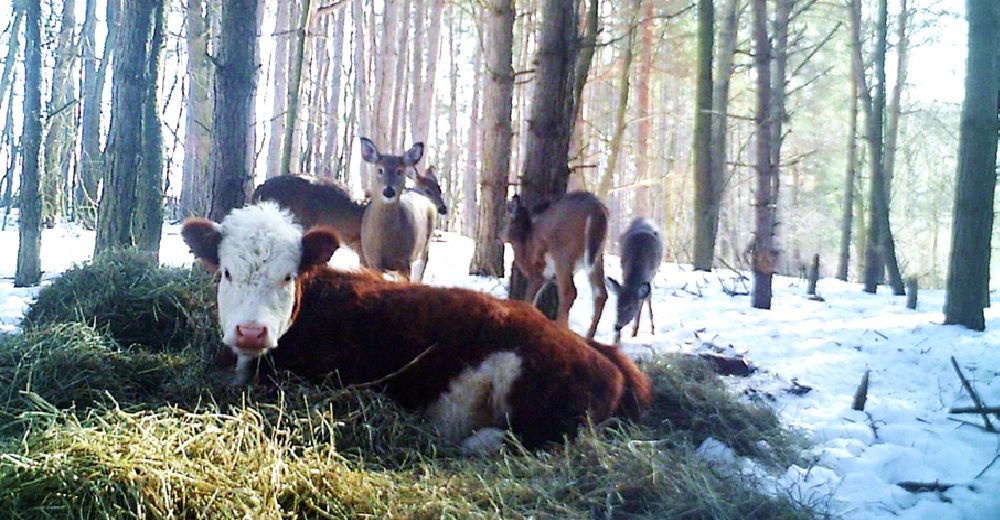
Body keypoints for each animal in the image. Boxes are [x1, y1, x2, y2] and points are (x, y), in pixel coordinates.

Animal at [360, 138, 438, 282]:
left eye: (400, 171)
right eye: (380, 170)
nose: (389, 191)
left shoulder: (404, 261)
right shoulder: (372, 261)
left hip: (423, 248)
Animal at [500, 193, 608, 340]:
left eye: (506, 218)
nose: (499, 236)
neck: (525, 244)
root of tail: (598, 211)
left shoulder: (536, 274)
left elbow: (528, 300)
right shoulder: (546, 278)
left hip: (563, 253)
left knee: (569, 292)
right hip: (597, 256)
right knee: (600, 294)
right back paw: (588, 337)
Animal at [600, 216, 664, 344]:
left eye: (630, 307)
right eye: (617, 305)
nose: (617, 326)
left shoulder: (650, 275)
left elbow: (643, 302)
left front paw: (636, 333)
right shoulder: (623, 269)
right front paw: (616, 339)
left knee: (647, 299)